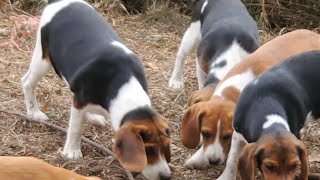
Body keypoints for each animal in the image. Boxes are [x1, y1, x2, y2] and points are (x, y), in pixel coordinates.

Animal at [21, 0, 171, 179]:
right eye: (148, 151)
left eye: (165, 148)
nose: (166, 176)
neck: (125, 87)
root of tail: (58, 2)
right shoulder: (79, 100)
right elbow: (76, 128)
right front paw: (72, 151)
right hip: (43, 59)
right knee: (27, 82)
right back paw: (34, 112)